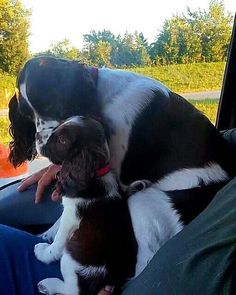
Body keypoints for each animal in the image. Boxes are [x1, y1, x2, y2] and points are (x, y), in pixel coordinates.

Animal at [34, 117, 183, 294]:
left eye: (62, 140)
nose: (36, 135)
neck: (96, 174)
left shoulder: (71, 218)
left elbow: (58, 240)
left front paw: (44, 252)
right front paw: (45, 234)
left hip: (72, 258)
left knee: (73, 290)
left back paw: (47, 284)